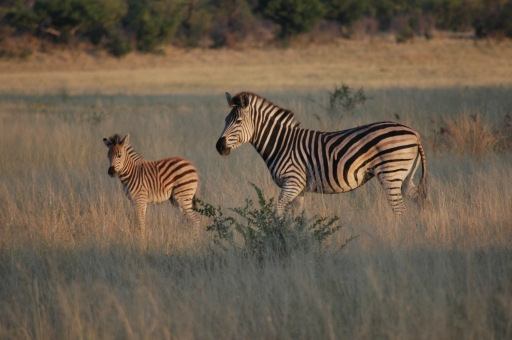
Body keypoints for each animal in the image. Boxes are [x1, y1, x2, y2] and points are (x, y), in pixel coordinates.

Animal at [216, 91, 428, 216]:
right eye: (225, 119)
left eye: (237, 121)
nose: (219, 146)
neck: (282, 143)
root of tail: (415, 133)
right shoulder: (299, 189)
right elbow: (296, 218)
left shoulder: (292, 182)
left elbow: (277, 211)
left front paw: (275, 236)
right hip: (405, 176)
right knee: (419, 201)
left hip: (391, 173)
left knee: (400, 210)